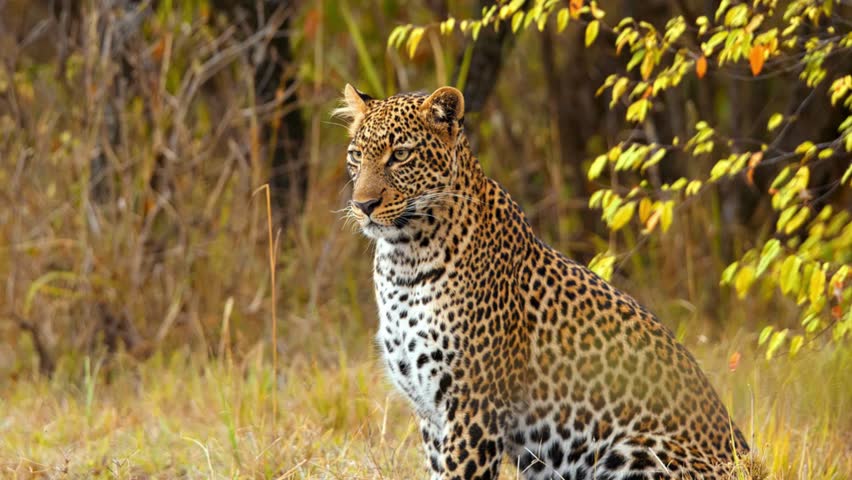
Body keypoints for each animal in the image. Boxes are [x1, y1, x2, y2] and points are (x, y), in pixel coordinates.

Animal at [336, 84, 749, 480]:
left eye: (401, 155)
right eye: (356, 155)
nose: (363, 205)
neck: (404, 262)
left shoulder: (475, 407)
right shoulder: (432, 415)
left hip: (632, 449)